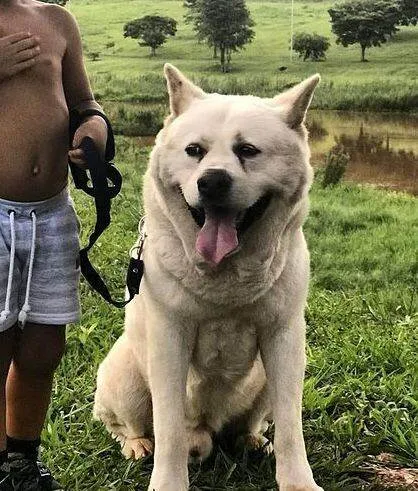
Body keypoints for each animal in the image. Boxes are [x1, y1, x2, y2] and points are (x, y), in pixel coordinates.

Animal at [94, 65, 324, 491]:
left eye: (247, 150)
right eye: (194, 151)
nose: (212, 181)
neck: (226, 280)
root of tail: (207, 428)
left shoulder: (285, 339)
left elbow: (290, 424)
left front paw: (297, 481)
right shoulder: (169, 340)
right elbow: (168, 427)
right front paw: (168, 483)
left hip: (262, 378)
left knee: (247, 424)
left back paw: (251, 439)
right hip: (125, 375)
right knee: (128, 424)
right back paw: (137, 444)